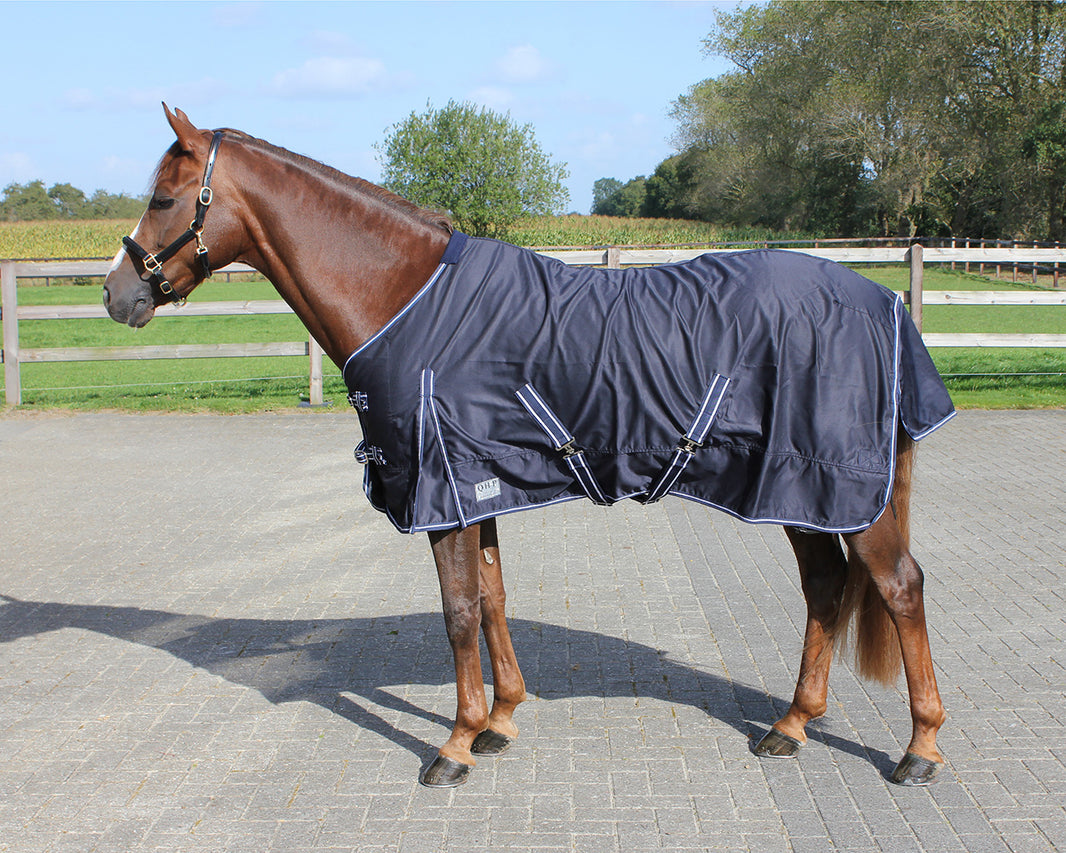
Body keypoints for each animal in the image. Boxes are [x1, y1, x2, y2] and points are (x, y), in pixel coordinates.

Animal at [103, 105, 951, 788]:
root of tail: (883, 301)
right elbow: (491, 598)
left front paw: (453, 744)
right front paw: (501, 719)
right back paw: (792, 725)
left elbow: (455, 613)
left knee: (900, 587)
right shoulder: (477, 487)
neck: (406, 298)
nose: (116, 294)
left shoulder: (439, 494)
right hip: (799, 492)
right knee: (826, 589)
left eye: (163, 197)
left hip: (838, 492)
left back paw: (920, 749)